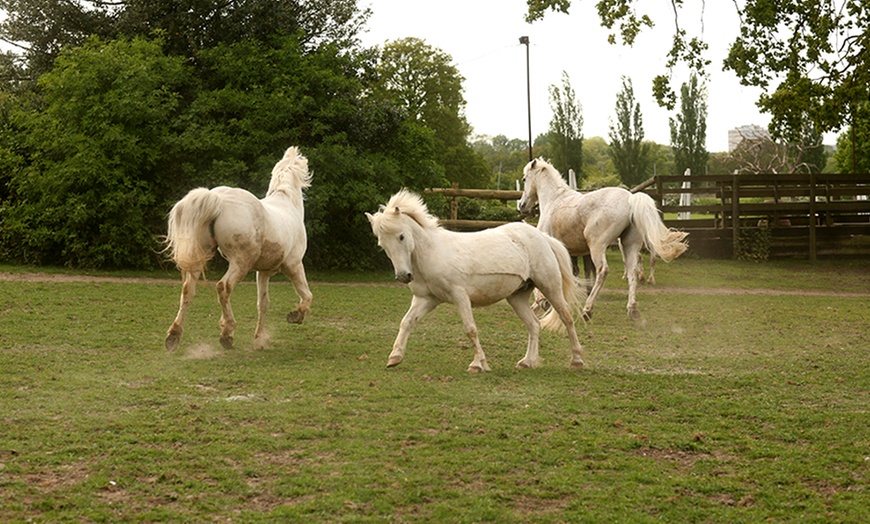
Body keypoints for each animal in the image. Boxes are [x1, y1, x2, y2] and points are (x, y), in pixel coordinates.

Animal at [164, 145, 314, 350]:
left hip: (200, 257)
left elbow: (263, 304)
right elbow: (306, 294)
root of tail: (217, 199)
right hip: (241, 262)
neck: (286, 202)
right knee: (223, 287)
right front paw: (296, 316)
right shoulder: (294, 265)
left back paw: (174, 335)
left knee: (188, 290)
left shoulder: (263, 273)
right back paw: (227, 333)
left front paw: (259, 339)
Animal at [364, 188, 588, 372]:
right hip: (517, 297)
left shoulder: (460, 297)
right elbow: (406, 322)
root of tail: (542, 237)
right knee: (533, 324)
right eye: (382, 244)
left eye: (401, 236)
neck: (433, 253)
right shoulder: (425, 299)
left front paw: (478, 364)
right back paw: (527, 362)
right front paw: (394, 357)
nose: (403, 276)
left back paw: (577, 360)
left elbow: (470, 329)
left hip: (550, 287)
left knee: (567, 317)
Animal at [516, 157, 688, 320]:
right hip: (629, 245)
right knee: (632, 272)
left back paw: (587, 310)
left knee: (603, 271)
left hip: (597, 246)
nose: (521, 205)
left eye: (524, 179)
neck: (554, 200)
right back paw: (632, 310)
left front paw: (541, 303)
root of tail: (630, 199)